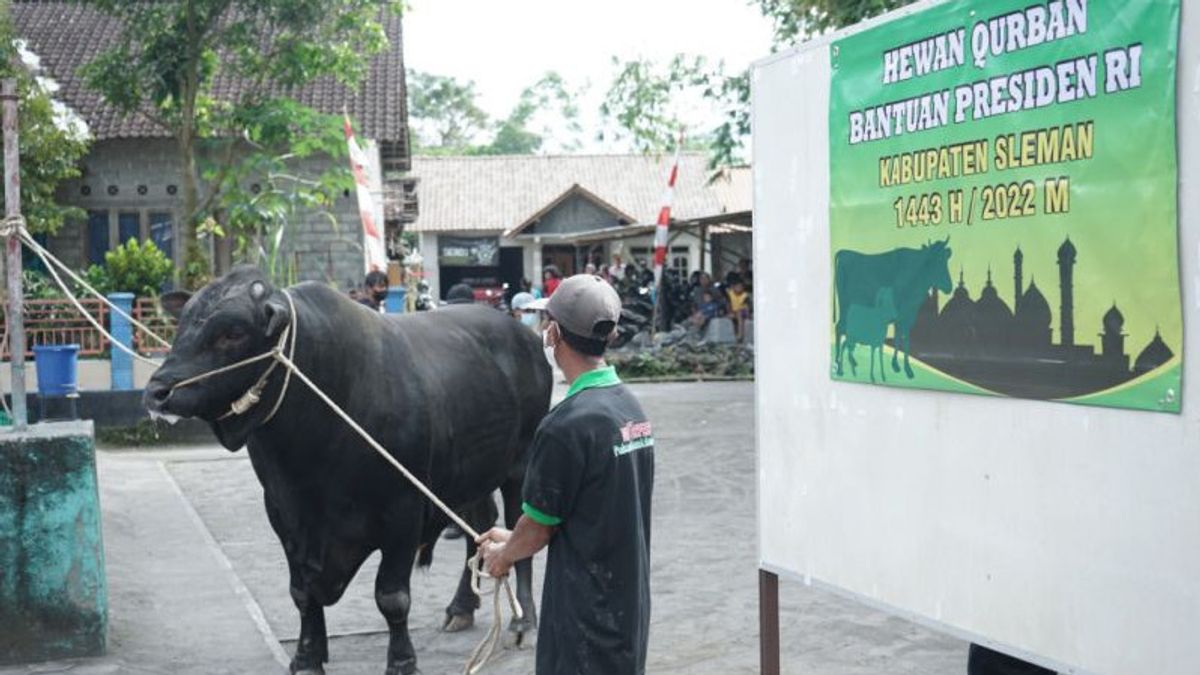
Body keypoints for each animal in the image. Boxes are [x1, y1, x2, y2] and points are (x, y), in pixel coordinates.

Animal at [145, 265, 552, 667]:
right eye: (182, 324)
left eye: (232, 332)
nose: (157, 392)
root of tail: (525, 338)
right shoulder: (283, 514)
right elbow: (302, 593)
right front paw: (307, 656)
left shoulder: (403, 512)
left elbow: (391, 597)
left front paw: (401, 661)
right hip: (469, 474)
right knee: (480, 527)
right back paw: (461, 607)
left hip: (521, 468)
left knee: (516, 531)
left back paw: (523, 620)